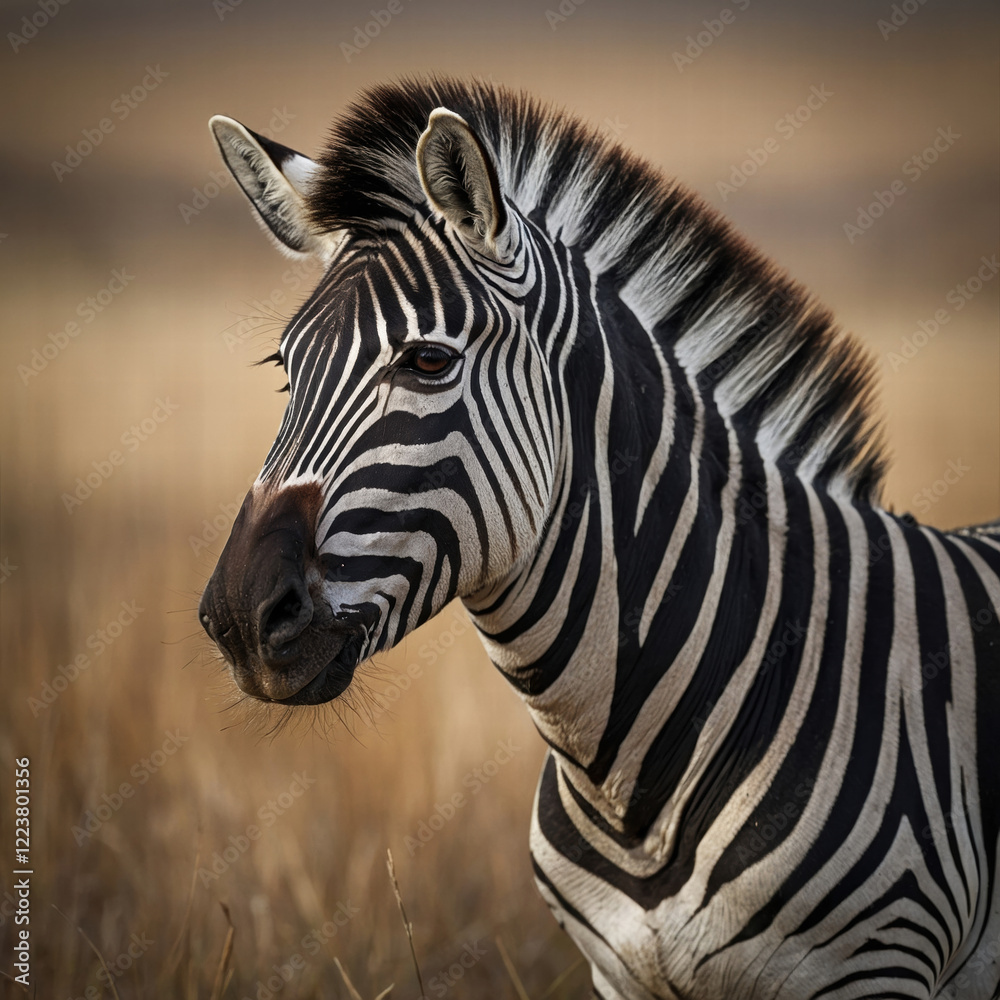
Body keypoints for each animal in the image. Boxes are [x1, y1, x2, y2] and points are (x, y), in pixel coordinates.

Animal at [198, 78, 1000, 999]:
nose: (239, 617)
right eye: (285, 371)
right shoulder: (618, 974)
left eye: (428, 362)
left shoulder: (875, 965)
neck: (631, 784)